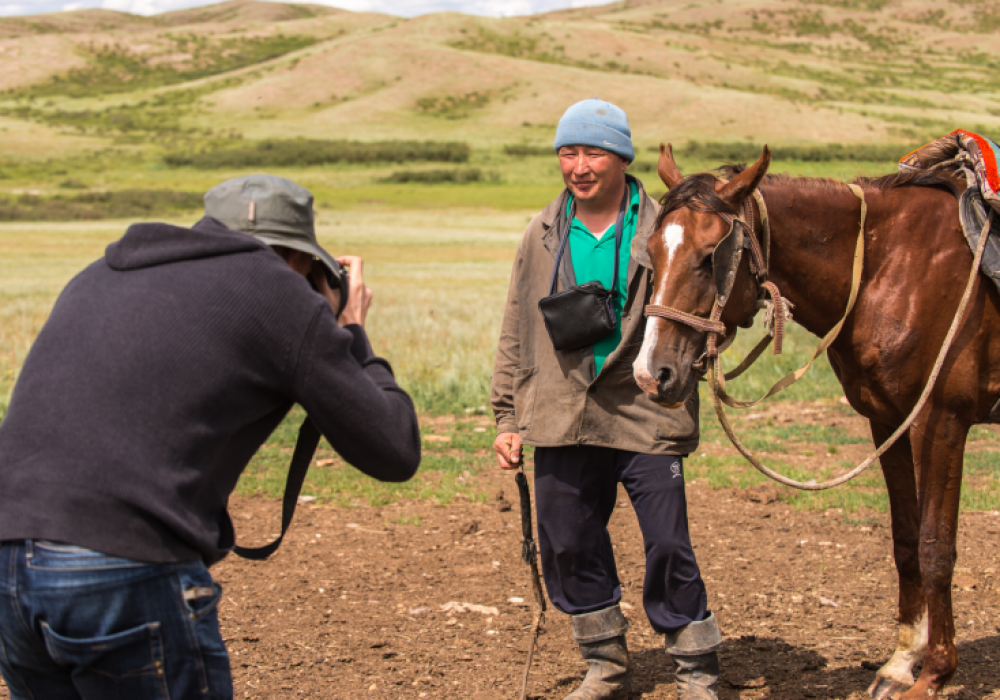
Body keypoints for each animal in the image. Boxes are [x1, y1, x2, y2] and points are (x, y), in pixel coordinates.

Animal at [632, 145, 1000, 696]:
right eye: (653, 252)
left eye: (710, 257)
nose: (652, 374)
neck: (889, 267)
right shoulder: (887, 423)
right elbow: (906, 541)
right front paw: (900, 664)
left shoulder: (940, 422)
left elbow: (936, 548)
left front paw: (934, 673)